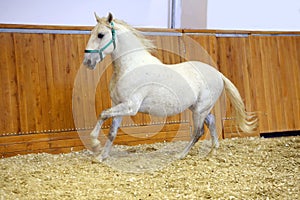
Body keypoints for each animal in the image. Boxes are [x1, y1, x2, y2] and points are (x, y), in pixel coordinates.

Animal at [83, 13, 256, 162]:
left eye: (100, 35)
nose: (87, 62)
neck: (130, 66)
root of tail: (219, 74)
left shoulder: (130, 106)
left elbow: (103, 114)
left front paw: (95, 143)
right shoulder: (119, 105)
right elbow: (112, 131)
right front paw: (101, 157)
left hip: (200, 110)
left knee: (198, 132)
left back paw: (181, 155)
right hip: (199, 108)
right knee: (212, 121)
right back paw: (212, 152)